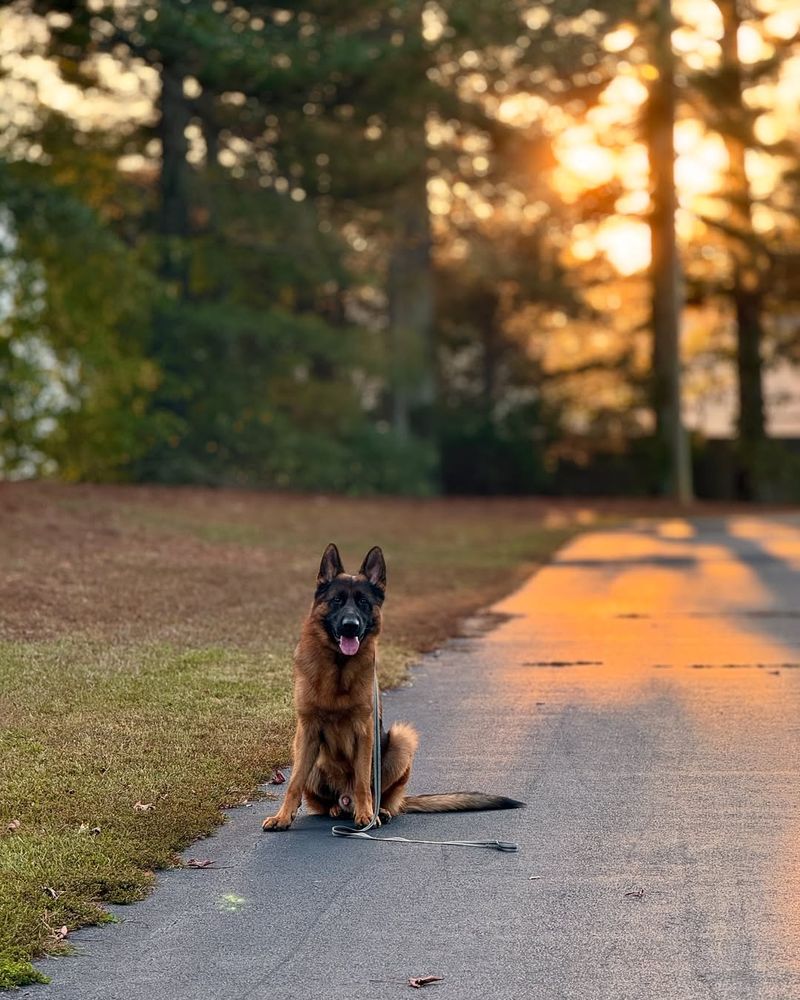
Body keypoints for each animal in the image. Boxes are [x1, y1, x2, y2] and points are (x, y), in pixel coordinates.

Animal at [262, 544, 524, 832]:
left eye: (364, 603)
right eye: (337, 601)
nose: (350, 626)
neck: (338, 667)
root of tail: (344, 799)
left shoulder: (364, 731)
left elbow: (363, 780)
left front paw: (367, 814)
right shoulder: (307, 731)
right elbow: (294, 782)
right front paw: (282, 816)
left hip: (401, 740)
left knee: (381, 795)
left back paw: (380, 811)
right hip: (302, 749)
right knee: (324, 800)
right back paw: (336, 808)